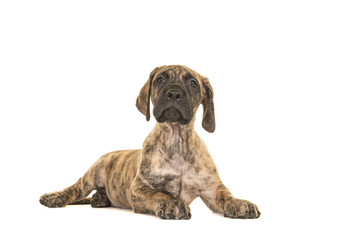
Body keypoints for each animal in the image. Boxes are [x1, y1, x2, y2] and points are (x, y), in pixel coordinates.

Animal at [39, 65, 260, 219]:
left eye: (192, 83)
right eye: (160, 79)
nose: (174, 93)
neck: (176, 140)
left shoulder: (212, 189)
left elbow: (227, 196)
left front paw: (240, 203)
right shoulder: (139, 188)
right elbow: (159, 194)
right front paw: (172, 204)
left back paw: (99, 199)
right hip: (93, 174)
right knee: (75, 189)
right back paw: (54, 197)